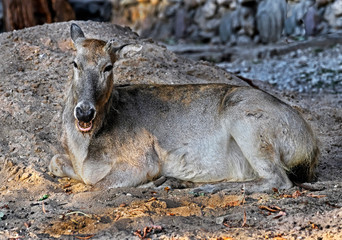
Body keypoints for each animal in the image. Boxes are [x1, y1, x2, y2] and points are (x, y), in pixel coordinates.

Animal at [48, 23, 318, 193]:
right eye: (75, 63)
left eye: (108, 67)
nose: (84, 112)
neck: (84, 152)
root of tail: (310, 146)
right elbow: (54, 162)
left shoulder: (143, 161)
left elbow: (96, 185)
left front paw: (151, 184)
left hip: (248, 123)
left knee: (278, 179)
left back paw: (198, 185)